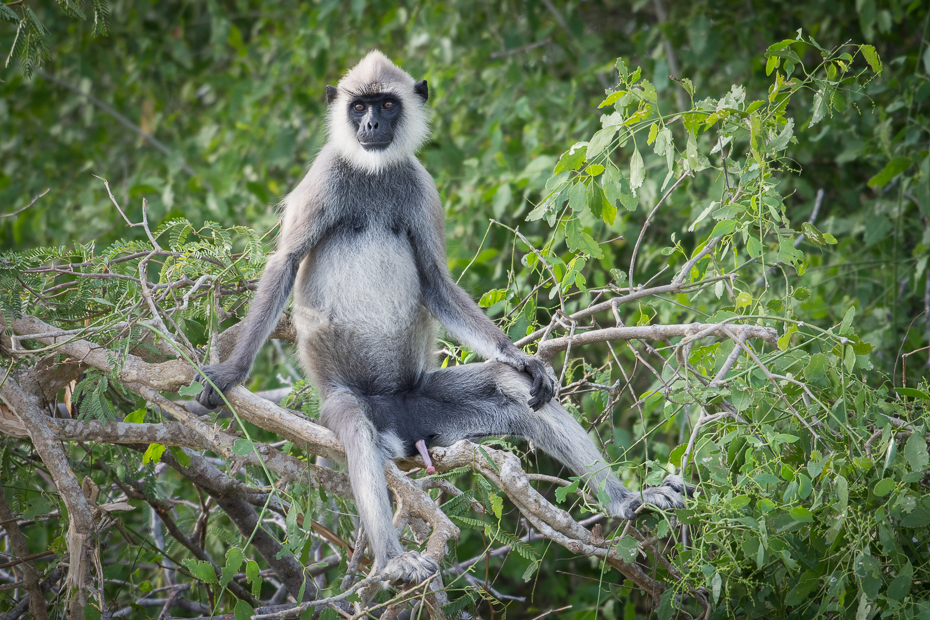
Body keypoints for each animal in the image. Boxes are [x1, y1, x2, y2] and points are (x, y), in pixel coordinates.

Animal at [196, 50, 688, 584]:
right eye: (359, 106)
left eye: (387, 105)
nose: (370, 124)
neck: (373, 173)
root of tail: (398, 417)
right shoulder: (327, 174)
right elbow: (284, 263)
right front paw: (230, 373)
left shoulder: (418, 182)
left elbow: (434, 279)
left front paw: (521, 357)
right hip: (345, 402)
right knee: (358, 434)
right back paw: (392, 558)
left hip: (428, 404)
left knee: (509, 387)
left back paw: (626, 501)